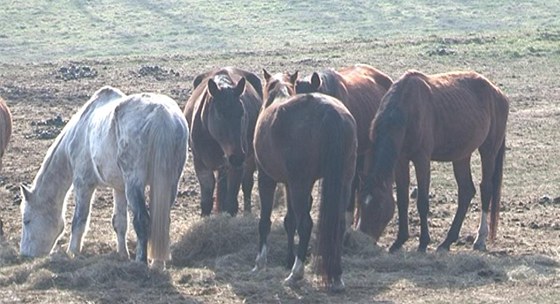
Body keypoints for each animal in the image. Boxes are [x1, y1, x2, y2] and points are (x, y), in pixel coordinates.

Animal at [19, 84, 188, 268]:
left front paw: (72, 252)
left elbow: (79, 221)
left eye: (26, 220)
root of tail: (160, 113)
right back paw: (157, 263)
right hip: (168, 184)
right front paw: (122, 254)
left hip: (134, 184)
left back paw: (141, 262)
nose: (25, 255)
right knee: (161, 222)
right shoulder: (119, 189)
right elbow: (120, 222)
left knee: (142, 221)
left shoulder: (83, 185)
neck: (81, 130)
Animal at [184, 67, 262, 216]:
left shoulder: (236, 166)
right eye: (220, 114)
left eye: (242, 113)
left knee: (247, 185)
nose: (237, 157)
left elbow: (232, 201)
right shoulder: (200, 164)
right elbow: (206, 200)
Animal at [253, 70, 354, 292]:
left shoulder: (268, 178)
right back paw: (337, 276)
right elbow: (290, 221)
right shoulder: (289, 184)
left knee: (306, 224)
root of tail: (330, 113)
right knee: (339, 223)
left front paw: (260, 262)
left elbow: (265, 220)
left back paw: (296, 274)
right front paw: (288, 258)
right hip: (342, 182)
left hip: (299, 185)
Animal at [360, 70, 510, 253]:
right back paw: (447, 241)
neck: (405, 110)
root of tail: (498, 93)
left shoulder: (422, 159)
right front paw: (399, 240)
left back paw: (479, 239)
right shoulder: (401, 160)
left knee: (486, 189)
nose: (363, 241)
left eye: (379, 206)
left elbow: (422, 202)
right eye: (361, 204)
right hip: (461, 156)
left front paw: (423, 242)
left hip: (488, 151)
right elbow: (402, 199)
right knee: (466, 191)